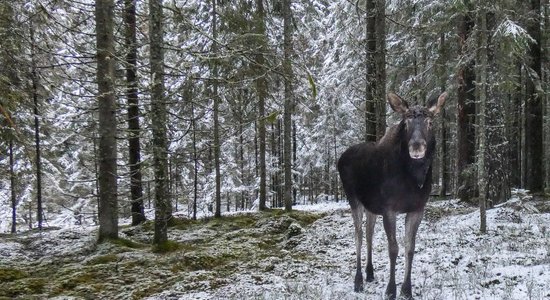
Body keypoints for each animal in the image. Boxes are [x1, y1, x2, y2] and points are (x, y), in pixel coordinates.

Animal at [338, 92, 450, 298]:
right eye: (406, 122)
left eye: (430, 122)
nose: (416, 146)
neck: (414, 179)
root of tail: (340, 158)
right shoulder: (389, 209)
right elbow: (393, 249)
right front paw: (391, 290)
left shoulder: (417, 209)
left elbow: (410, 248)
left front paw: (407, 290)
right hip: (353, 199)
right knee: (358, 235)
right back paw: (358, 281)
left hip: (371, 206)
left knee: (369, 233)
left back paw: (370, 273)